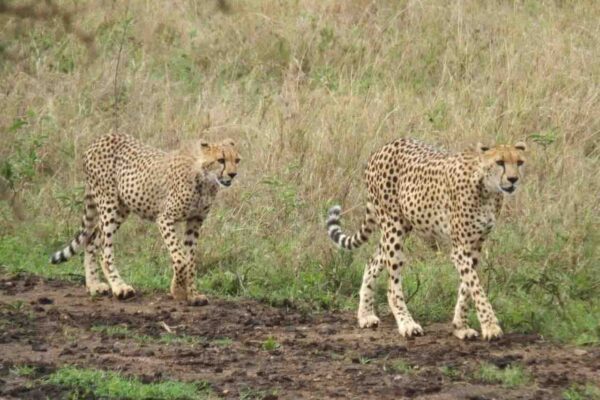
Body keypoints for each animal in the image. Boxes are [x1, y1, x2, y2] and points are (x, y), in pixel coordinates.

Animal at [49, 133, 241, 304]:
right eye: (221, 160)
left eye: (237, 160)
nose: (233, 174)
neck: (205, 179)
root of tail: (100, 138)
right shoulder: (165, 218)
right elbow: (180, 258)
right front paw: (178, 291)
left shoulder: (195, 221)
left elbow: (190, 258)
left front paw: (192, 294)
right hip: (109, 204)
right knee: (105, 250)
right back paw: (119, 287)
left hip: (121, 208)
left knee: (92, 238)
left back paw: (94, 286)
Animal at [326, 138, 528, 340]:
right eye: (500, 162)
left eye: (519, 162)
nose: (513, 179)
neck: (487, 190)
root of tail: (384, 147)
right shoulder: (460, 249)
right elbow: (477, 288)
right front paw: (490, 326)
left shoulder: (475, 246)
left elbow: (467, 288)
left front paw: (460, 326)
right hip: (394, 228)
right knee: (392, 287)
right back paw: (407, 324)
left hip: (400, 227)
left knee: (372, 261)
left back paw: (365, 315)